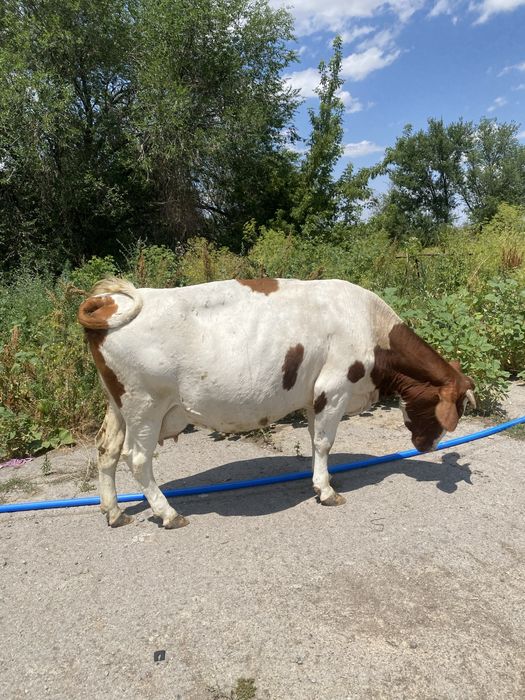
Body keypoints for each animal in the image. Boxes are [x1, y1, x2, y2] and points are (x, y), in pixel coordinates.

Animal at [78, 277, 476, 529]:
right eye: (454, 411)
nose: (427, 446)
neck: (370, 326)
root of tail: (109, 302)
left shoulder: (316, 395)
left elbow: (317, 441)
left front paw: (322, 480)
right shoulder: (335, 387)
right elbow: (324, 442)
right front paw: (327, 491)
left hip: (118, 405)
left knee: (106, 450)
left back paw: (114, 512)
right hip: (145, 404)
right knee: (137, 458)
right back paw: (168, 513)